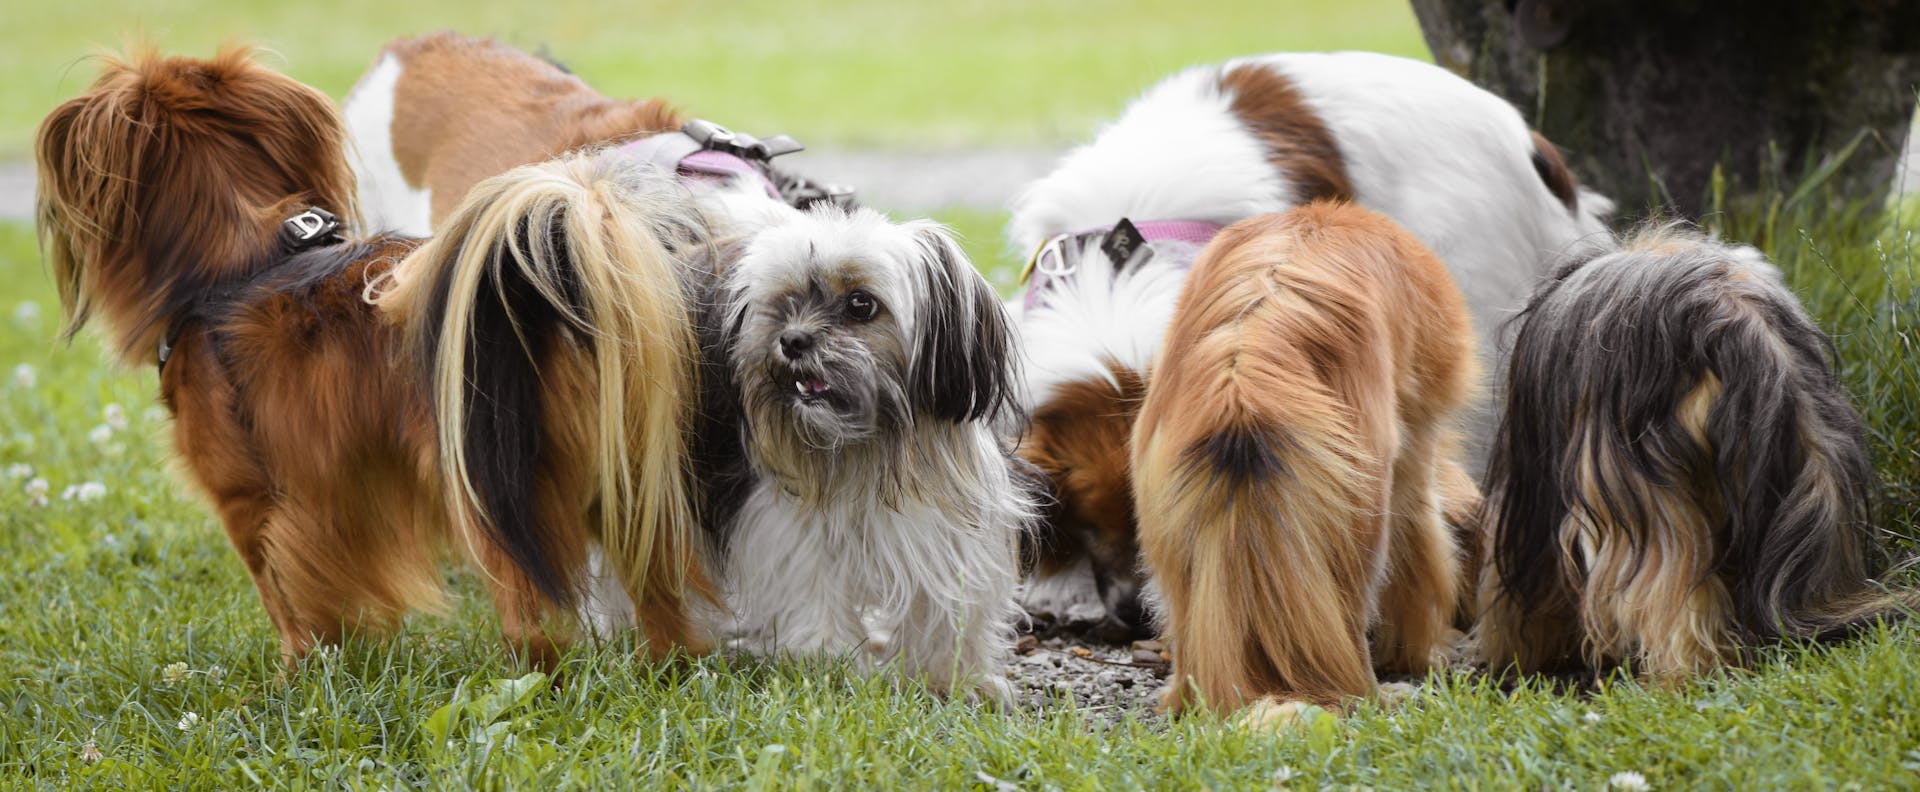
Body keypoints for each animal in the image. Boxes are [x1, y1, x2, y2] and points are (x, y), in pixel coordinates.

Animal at [37, 44, 714, 659]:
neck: (243, 260)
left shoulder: (251, 503)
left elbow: (282, 596)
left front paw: (298, 672)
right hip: (636, 492)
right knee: (662, 597)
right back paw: (670, 667)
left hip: (491, 495)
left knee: (535, 617)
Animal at [1128, 200, 1474, 717]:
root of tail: (1245, 363)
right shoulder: (1417, 441)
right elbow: (1422, 549)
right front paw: (1418, 655)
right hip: (1363, 500)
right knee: (1353, 606)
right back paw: (1369, 693)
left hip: (1164, 506)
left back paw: (1185, 696)